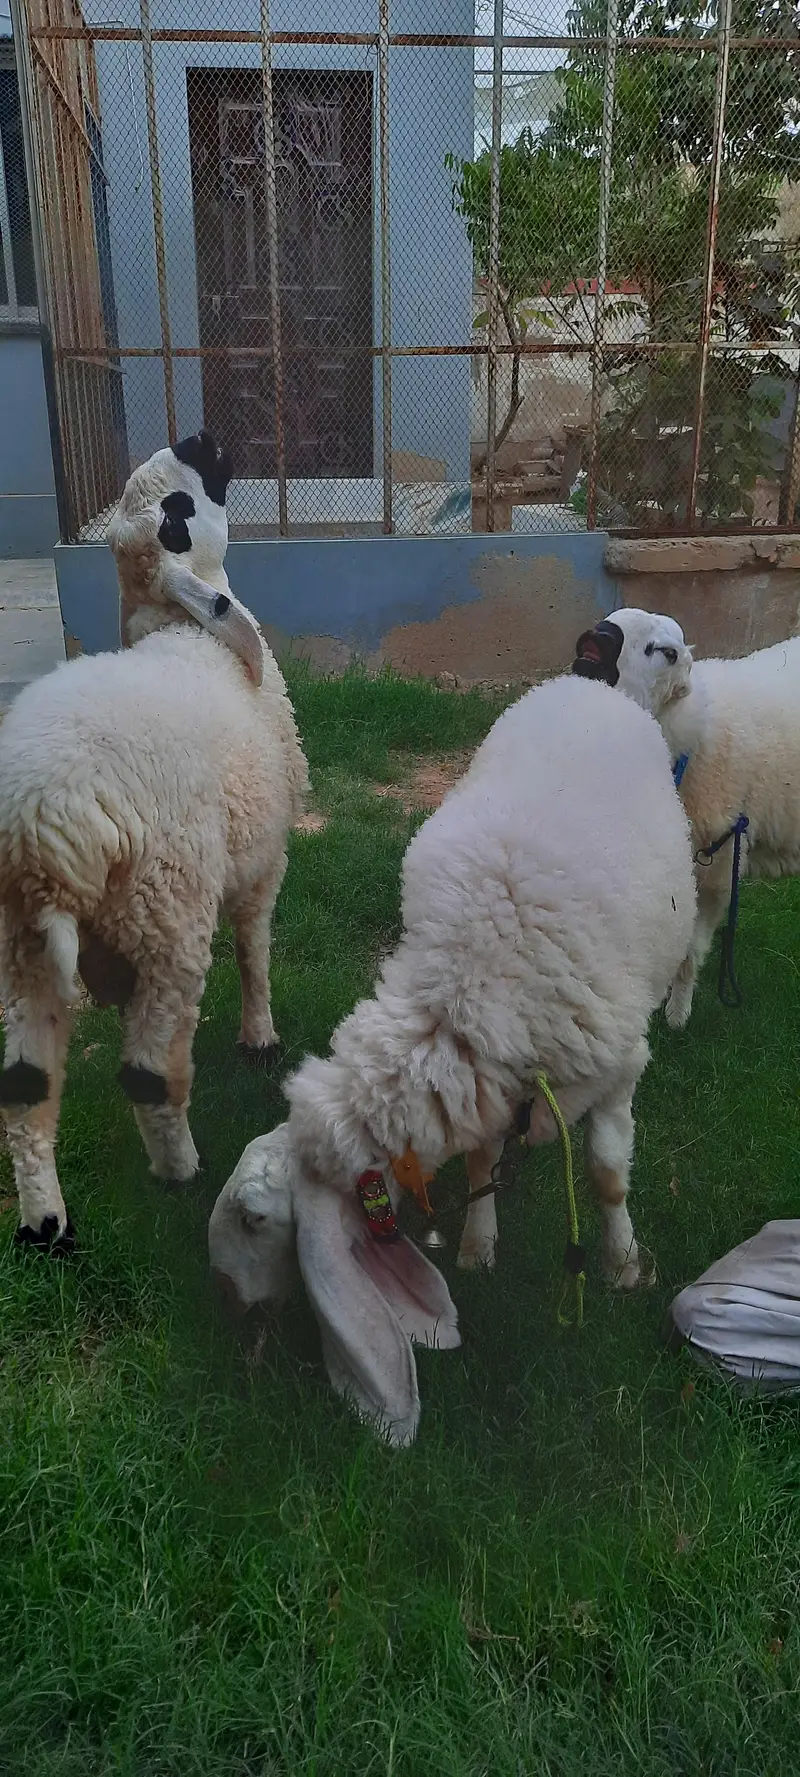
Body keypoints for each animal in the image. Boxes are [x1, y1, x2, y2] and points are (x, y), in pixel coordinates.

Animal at [0, 429, 308, 1252]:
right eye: (178, 512)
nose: (200, 437)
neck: (182, 632)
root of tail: (39, 831)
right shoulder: (263, 858)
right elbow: (256, 948)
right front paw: (261, 1037)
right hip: (167, 914)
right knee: (148, 1067)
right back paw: (181, 1169)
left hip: (22, 947)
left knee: (23, 1088)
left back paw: (46, 1222)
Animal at [209, 672, 696, 1444]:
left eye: (255, 1218)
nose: (226, 1300)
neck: (465, 992)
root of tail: (585, 681)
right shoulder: (482, 1088)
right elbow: (479, 1161)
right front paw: (477, 1245)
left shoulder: (619, 1070)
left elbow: (608, 1174)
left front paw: (622, 1262)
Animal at [572, 608, 800, 1028]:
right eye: (610, 617)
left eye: (667, 652)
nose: (601, 635)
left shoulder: (718, 861)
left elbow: (690, 949)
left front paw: (677, 1014)